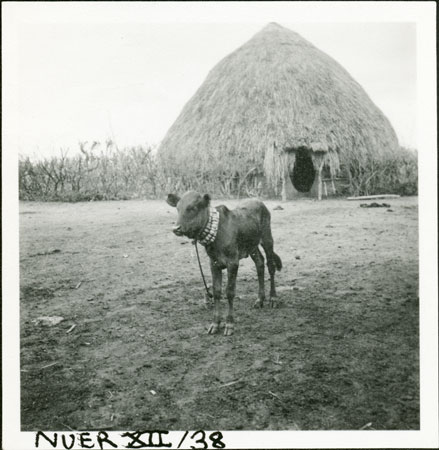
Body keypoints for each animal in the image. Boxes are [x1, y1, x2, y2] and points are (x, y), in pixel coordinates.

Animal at [167, 190, 284, 334]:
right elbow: (217, 292)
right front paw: (215, 324)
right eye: (177, 208)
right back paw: (259, 300)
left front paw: (229, 324)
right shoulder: (214, 263)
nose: (176, 228)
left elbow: (230, 292)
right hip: (252, 246)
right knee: (259, 263)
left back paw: (273, 298)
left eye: (192, 208)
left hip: (267, 238)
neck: (217, 234)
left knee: (270, 265)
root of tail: (258, 201)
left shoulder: (233, 262)